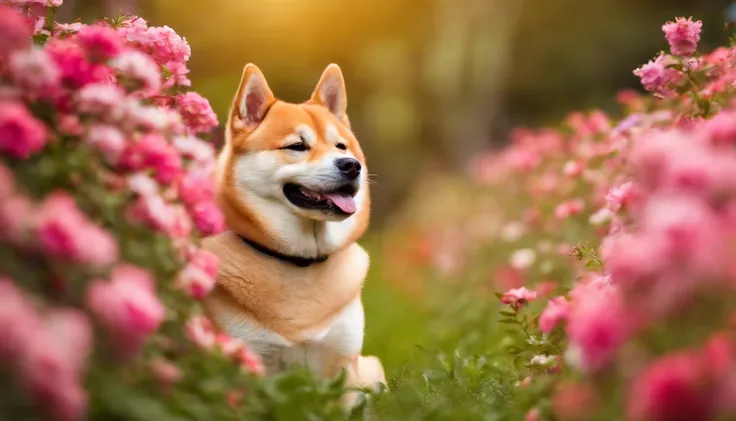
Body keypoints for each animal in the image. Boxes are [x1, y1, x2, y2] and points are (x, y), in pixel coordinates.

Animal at [200, 61, 386, 404]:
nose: (351, 165)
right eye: (297, 146)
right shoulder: (244, 363)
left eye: (341, 146)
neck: (301, 260)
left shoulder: (343, 366)